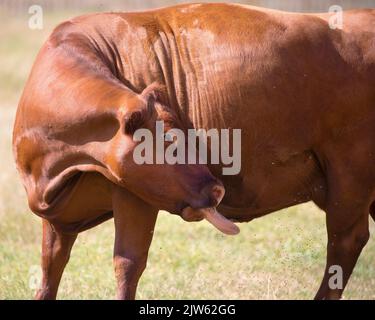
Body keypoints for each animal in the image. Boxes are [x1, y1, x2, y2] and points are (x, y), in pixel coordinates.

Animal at [12, 2, 375, 298]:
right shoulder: (58, 220)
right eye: (168, 143)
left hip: (349, 176)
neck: (57, 167)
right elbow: (50, 270)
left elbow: (127, 264)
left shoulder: (135, 198)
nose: (217, 189)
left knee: (345, 242)